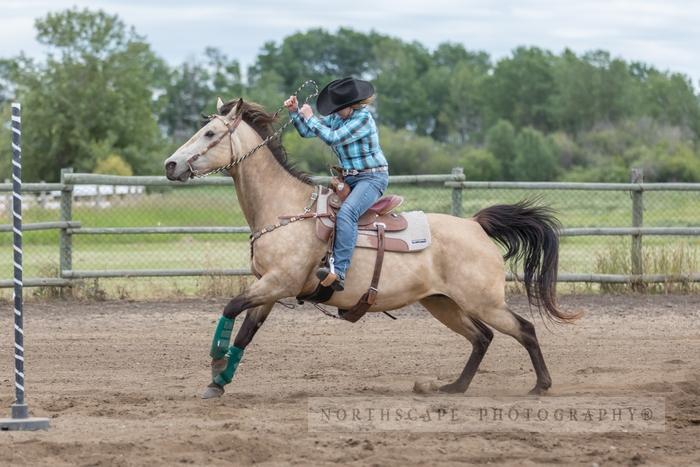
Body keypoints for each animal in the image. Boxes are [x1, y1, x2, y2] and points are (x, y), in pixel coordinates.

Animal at [164, 97, 580, 400]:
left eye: (209, 133)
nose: (170, 164)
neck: (284, 208)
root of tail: (476, 225)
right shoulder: (269, 288)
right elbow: (245, 333)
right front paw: (218, 382)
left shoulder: (279, 282)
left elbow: (230, 309)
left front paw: (216, 363)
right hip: (442, 302)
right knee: (482, 338)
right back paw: (452, 387)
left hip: (483, 301)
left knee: (523, 329)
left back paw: (540, 386)